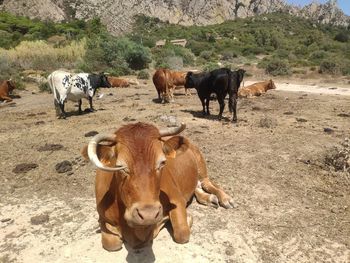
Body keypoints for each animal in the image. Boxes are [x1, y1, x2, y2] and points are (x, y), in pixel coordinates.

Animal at [81, 122, 234, 251]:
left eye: (162, 162)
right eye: (120, 166)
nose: (148, 214)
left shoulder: (177, 199)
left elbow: (182, 233)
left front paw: (184, 219)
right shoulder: (101, 217)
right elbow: (111, 244)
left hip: (200, 162)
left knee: (207, 182)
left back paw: (225, 198)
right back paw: (208, 198)